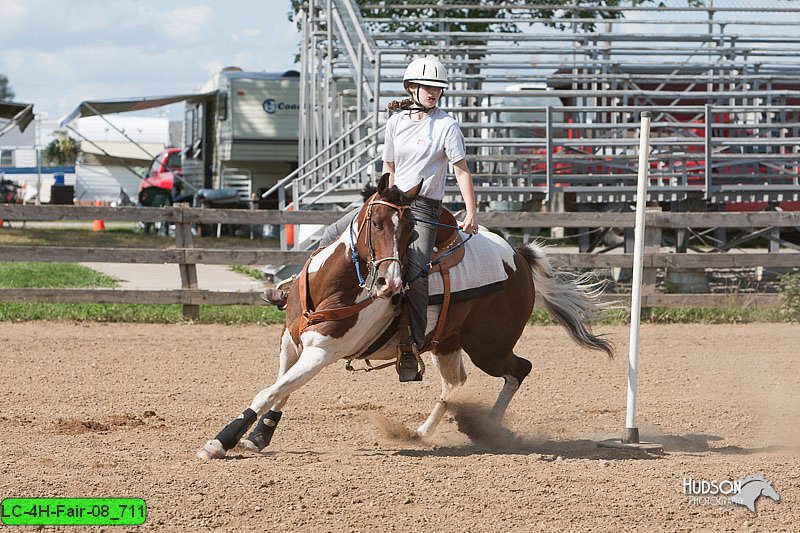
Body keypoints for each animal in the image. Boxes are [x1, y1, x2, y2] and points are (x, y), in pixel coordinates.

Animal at [197, 172, 608, 460]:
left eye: (412, 229)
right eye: (375, 222)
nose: (389, 281)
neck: (336, 286)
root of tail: (518, 258)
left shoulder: (322, 352)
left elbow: (271, 390)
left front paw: (220, 442)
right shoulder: (291, 343)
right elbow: (279, 390)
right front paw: (259, 436)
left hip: (489, 347)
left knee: (519, 369)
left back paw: (487, 428)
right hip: (448, 342)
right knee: (455, 383)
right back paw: (421, 432)